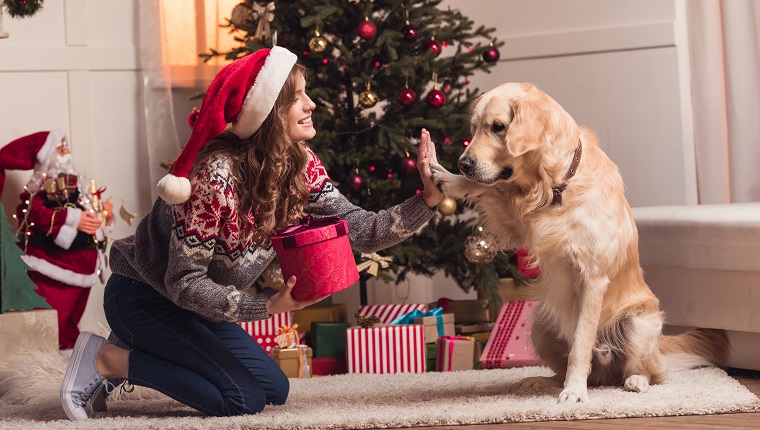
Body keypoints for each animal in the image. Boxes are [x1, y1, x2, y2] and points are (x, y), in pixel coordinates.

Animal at [430, 83, 728, 404]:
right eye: (473, 129)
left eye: (498, 127)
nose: (463, 163)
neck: (555, 185)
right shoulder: (522, 226)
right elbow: (490, 188)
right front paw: (450, 179)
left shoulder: (592, 278)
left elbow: (580, 346)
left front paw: (574, 392)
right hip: (540, 327)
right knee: (572, 371)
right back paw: (540, 381)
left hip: (636, 323)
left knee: (651, 373)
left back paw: (635, 380)